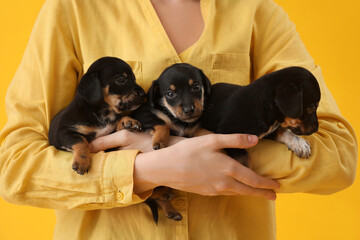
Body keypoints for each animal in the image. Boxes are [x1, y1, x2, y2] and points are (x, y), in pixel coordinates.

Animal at [128, 63, 211, 223]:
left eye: (196, 86)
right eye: (170, 94)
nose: (189, 110)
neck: (178, 120)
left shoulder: (190, 130)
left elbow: (199, 130)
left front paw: (210, 134)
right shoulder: (145, 115)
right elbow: (163, 124)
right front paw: (159, 141)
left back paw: (171, 209)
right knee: (148, 195)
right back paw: (165, 195)